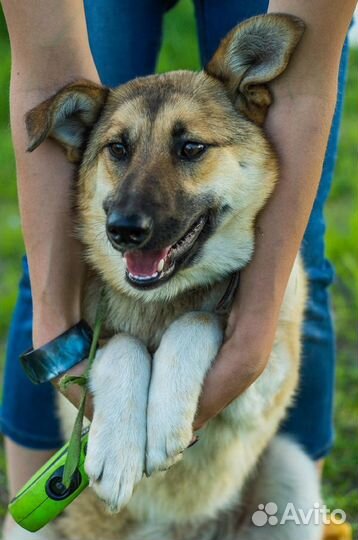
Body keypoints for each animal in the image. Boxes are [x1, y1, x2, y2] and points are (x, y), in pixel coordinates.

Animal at [25, 12, 322, 540]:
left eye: (191, 148)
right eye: (118, 148)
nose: (123, 230)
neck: (162, 301)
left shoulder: (261, 383)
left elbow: (198, 321)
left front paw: (163, 419)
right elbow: (122, 346)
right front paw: (118, 447)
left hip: (292, 470)